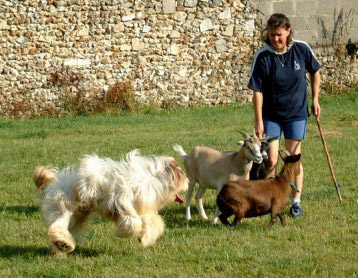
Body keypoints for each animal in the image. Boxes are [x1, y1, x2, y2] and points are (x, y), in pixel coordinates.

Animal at [34, 150, 189, 256]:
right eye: (182, 173)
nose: (188, 181)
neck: (153, 177)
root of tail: (53, 183)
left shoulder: (144, 208)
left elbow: (152, 223)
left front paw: (145, 238)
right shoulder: (120, 198)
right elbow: (133, 220)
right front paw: (126, 231)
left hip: (78, 214)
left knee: (63, 228)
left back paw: (61, 246)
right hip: (63, 204)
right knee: (57, 225)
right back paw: (62, 244)